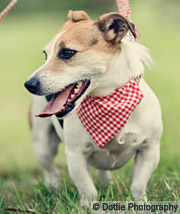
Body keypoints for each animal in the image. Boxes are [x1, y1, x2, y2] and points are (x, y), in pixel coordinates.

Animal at [24, 10, 163, 206]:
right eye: (45, 55)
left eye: (67, 52)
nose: (29, 85)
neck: (109, 100)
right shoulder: (75, 154)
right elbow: (88, 189)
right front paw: (89, 207)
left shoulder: (149, 149)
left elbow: (138, 185)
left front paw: (141, 204)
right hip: (42, 145)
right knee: (50, 170)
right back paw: (52, 188)